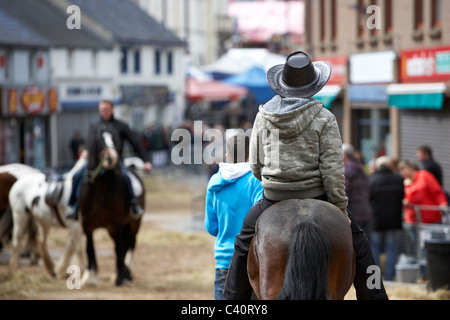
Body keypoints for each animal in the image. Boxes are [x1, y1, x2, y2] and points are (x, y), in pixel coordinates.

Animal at [79, 131, 144, 286]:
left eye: (115, 138)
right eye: (99, 139)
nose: (112, 158)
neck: (99, 190)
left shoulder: (116, 225)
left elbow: (119, 249)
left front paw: (120, 278)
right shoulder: (87, 226)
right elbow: (89, 248)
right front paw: (91, 277)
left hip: (134, 224)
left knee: (130, 244)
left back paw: (127, 273)